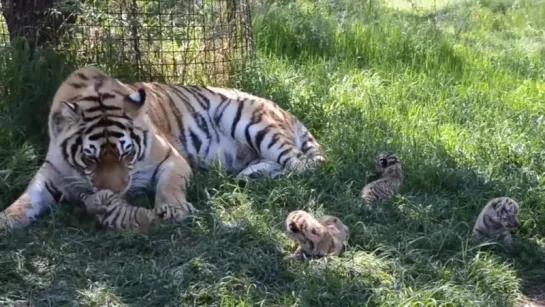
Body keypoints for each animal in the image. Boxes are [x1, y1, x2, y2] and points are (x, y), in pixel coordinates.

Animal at [0, 66, 324, 230]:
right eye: (89, 159)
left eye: (127, 154)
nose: (114, 193)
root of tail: (283, 109)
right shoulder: (51, 171)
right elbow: (26, 199)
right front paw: (7, 219)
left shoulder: (171, 157)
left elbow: (169, 185)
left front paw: (172, 208)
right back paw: (250, 174)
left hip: (250, 123)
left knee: (303, 165)